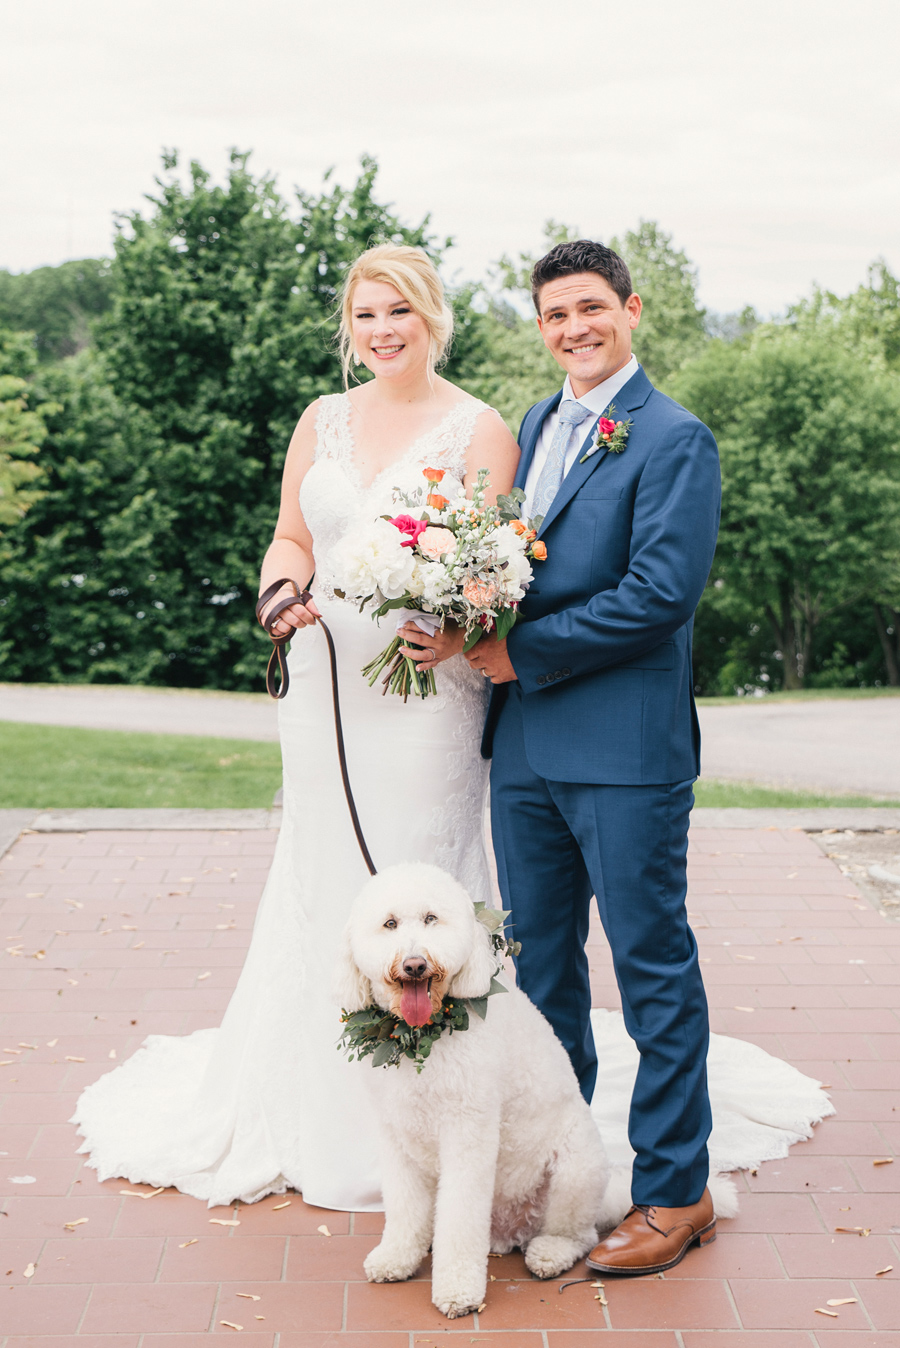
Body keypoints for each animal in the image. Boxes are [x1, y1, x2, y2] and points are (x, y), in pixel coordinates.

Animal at [336, 862, 611, 1315]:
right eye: (389, 924)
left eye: (431, 918)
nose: (414, 965)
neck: (423, 1040)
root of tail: (513, 1229)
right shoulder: (397, 1133)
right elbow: (404, 1206)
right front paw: (397, 1257)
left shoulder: (468, 1132)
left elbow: (460, 1217)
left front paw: (458, 1289)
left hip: (576, 1168)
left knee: (579, 1235)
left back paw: (550, 1253)